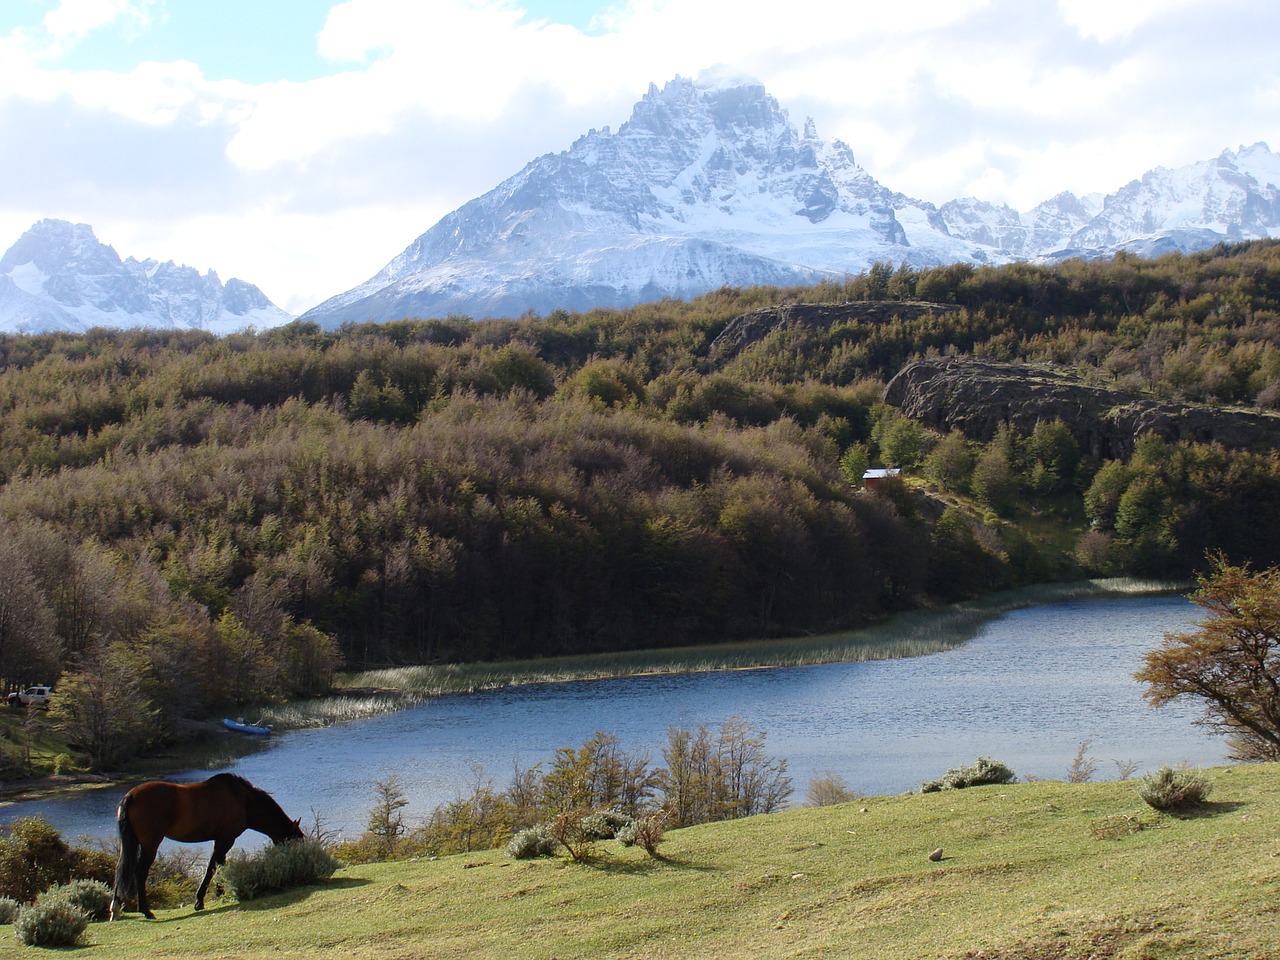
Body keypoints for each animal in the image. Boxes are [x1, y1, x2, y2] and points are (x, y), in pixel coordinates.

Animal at [107, 773, 302, 921]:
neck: (244, 800)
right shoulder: (226, 839)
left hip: (131, 843)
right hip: (150, 845)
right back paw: (146, 911)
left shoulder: (221, 840)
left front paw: (219, 892)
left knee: (121, 870)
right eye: (295, 842)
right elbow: (214, 867)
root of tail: (130, 796)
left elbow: (218, 865)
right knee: (140, 873)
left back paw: (116, 908)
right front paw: (206, 898)